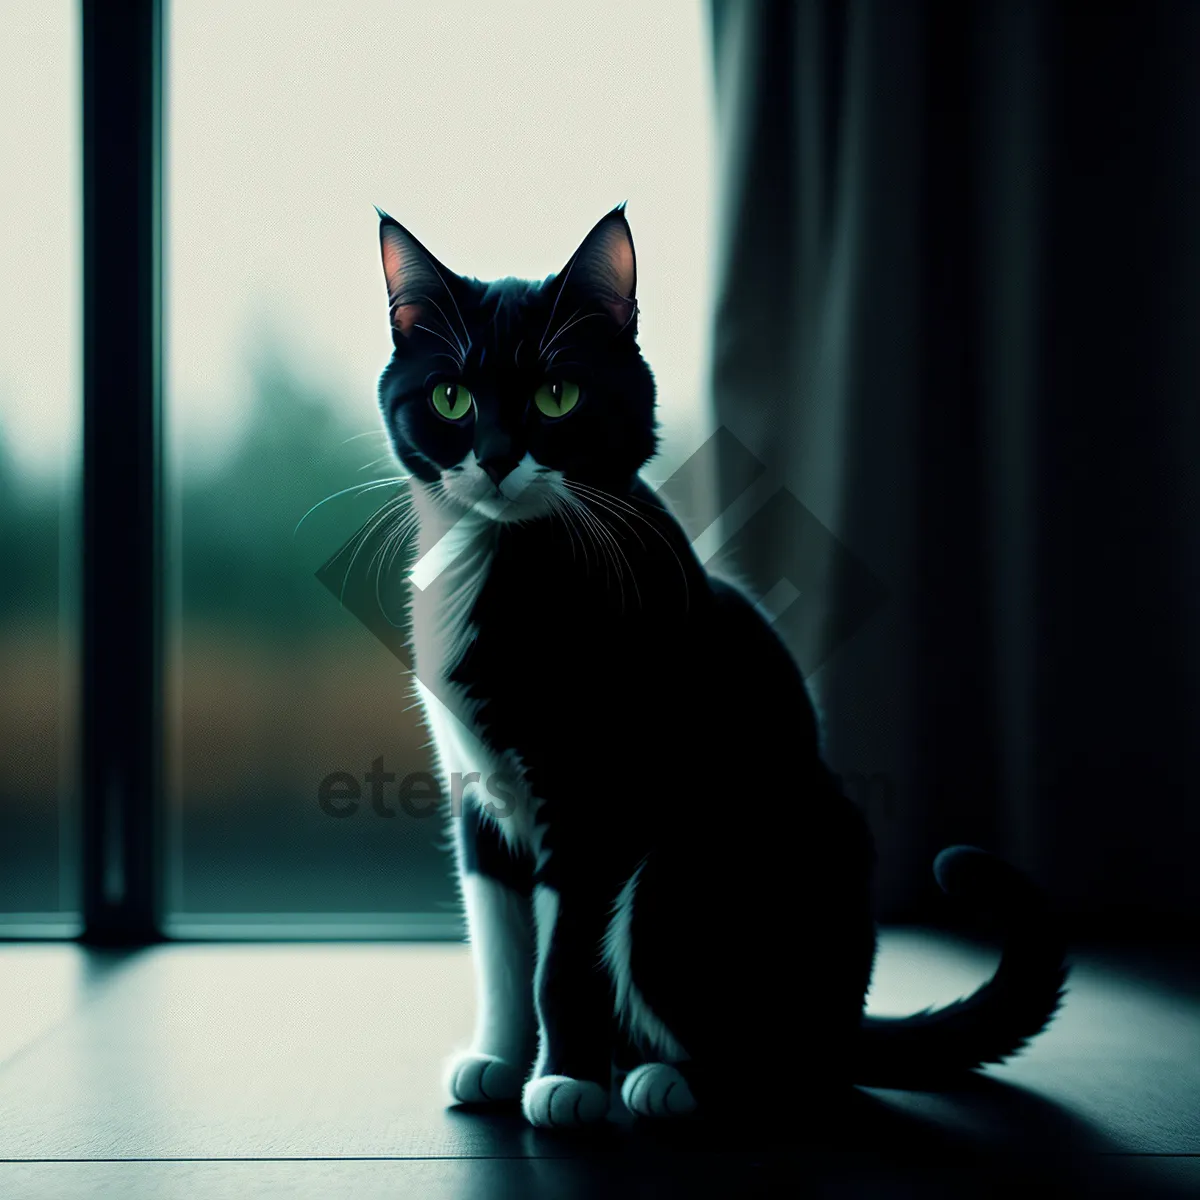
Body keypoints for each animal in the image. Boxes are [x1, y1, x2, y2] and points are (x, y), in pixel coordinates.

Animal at [369, 201, 1065, 1128]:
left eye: (558, 395)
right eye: (451, 397)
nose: (495, 456)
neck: (506, 566)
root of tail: (849, 1022)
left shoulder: (604, 800)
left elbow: (565, 959)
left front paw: (566, 1081)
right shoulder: (478, 796)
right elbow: (500, 948)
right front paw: (498, 1060)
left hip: (696, 867)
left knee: (785, 1059)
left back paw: (667, 1081)